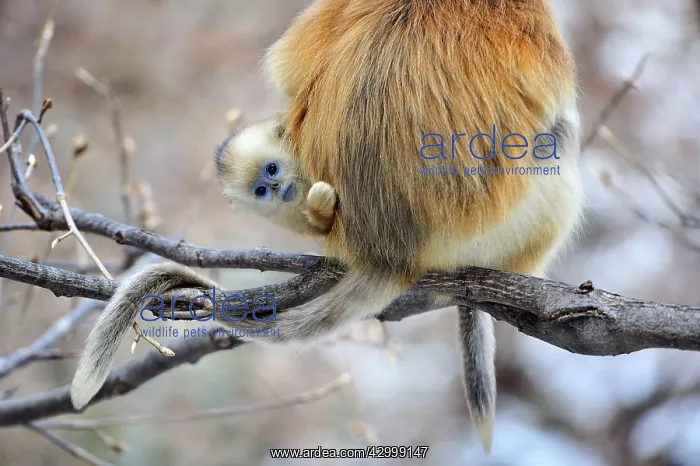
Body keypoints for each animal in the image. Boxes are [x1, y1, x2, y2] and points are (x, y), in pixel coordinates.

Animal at [70, 0, 584, 454]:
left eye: (273, 171)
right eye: (262, 185)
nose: (277, 190)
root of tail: (392, 256)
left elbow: (289, 73)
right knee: (557, 139)